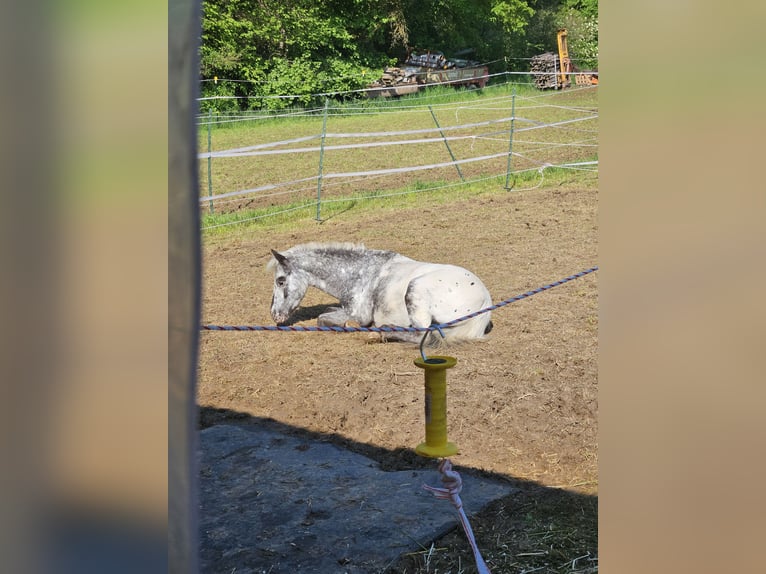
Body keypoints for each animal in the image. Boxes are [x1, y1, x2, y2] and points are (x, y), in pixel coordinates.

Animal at [267, 242, 493, 346]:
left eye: (280, 281)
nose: (275, 315)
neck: (359, 273)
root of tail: (485, 300)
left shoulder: (358, 314)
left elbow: (323, 319)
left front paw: (349, 326)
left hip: (415, 290)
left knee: (422, 335)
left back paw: (379, 332)